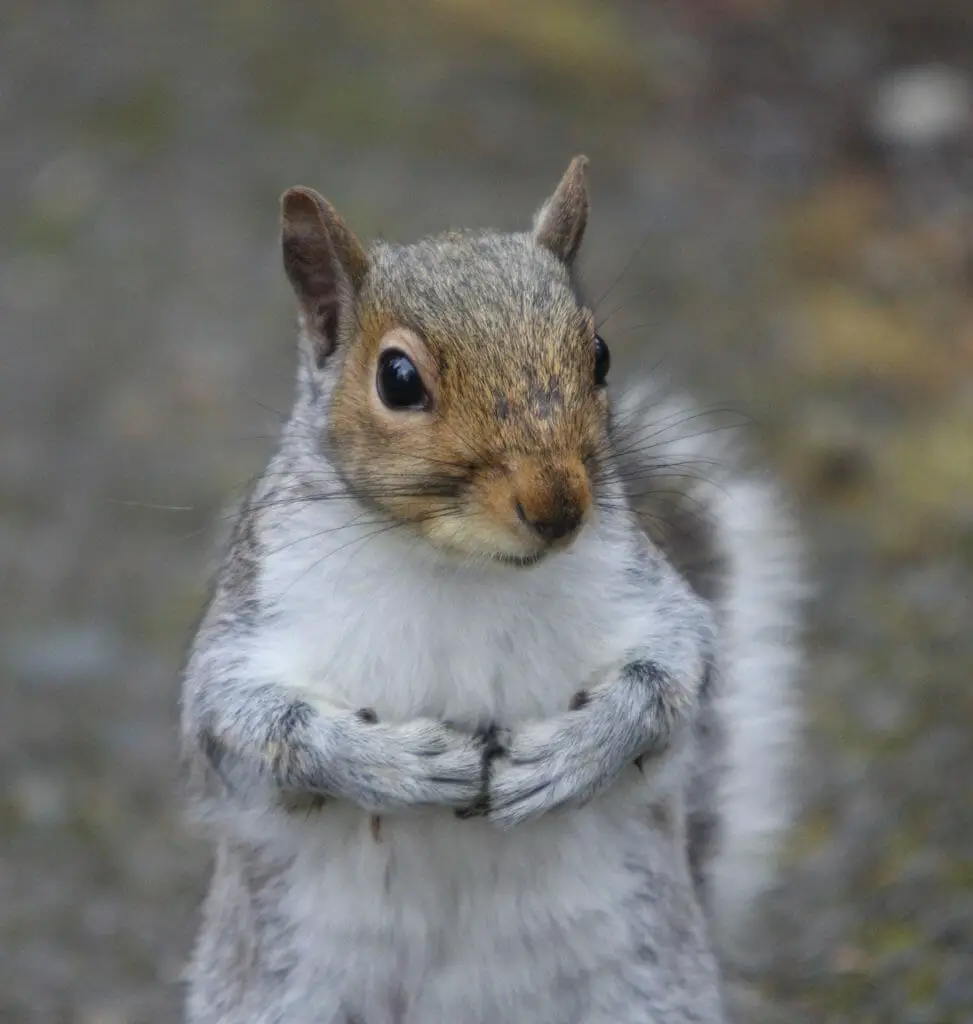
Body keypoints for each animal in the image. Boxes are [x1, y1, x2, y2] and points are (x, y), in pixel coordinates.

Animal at [180, 156, 804, 1024]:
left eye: (599, 354)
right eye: (396, 379)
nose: (557, 506)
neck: (461, 566)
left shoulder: (649, 601)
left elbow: (672, 679)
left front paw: (570, 758)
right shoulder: (252, 625)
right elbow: (247, 722)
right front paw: (399, 767)